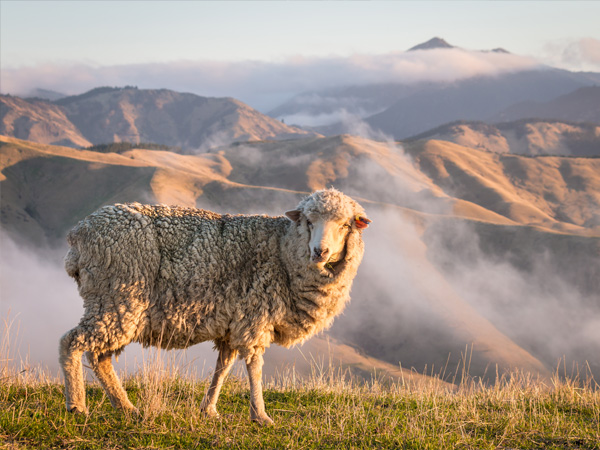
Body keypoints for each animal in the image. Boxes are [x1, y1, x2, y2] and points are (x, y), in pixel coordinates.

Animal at [59, 187, 370, 426]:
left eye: (345, 225)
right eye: (308, 222)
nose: (320, 252)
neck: (283, 250)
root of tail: (78, 235)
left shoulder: (233, 322)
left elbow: (223, 367)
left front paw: (209, 409)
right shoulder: (255, 316)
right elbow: (254, 366)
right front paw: (260, 415)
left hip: (114, 305)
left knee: (99, 357)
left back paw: (126, 407)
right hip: (118, 297)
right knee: (71, 342)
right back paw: (77, 405)